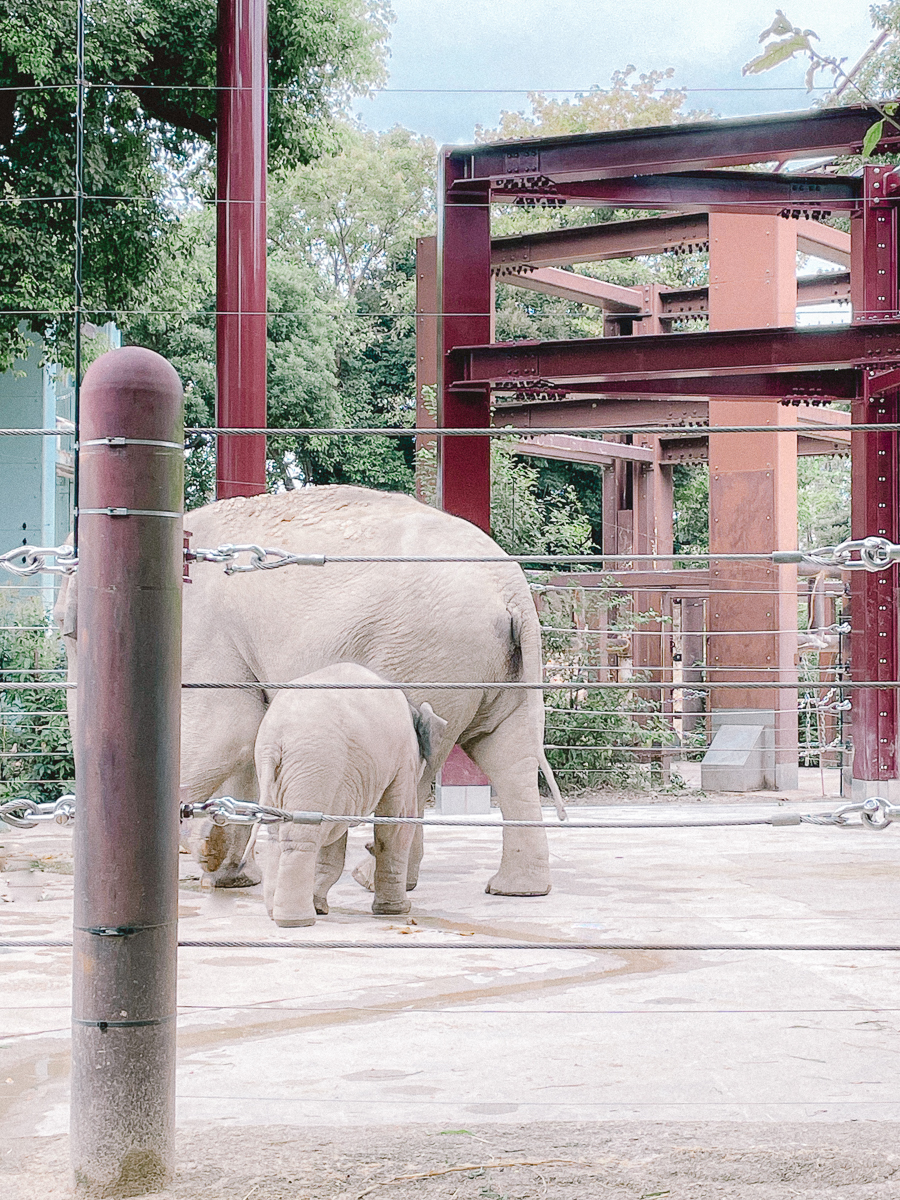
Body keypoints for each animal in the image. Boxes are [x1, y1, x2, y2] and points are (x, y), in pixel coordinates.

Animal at [54, 482, 564, 897]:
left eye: (65, 631)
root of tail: (512, 593)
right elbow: (246, 734)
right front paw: (228, 871)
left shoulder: (202, 634)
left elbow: (228, 729)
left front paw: (204, 858)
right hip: (495, 667)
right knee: (507, 753)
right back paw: (516, 889)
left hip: (425, 651)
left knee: (424, 755)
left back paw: (372, 878)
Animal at [255, 667, 446, 926]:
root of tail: (274, 743)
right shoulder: (403, 758)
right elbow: (396, 823)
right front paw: (397, 911)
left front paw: (320, 906)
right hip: (319, 763)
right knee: (302, 834)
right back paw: (296, 921)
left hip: (293, 772)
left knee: (280, 834)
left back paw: (276, 912)